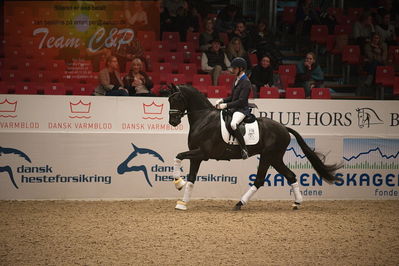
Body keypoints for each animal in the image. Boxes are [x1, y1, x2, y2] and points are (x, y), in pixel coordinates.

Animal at [168, 84, 340, 210]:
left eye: (177, 99)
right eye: (169, 100)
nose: (173, 122)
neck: (204, 118)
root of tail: (284, 128)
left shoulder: (203, 153)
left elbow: (178, 156)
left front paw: (178, 182)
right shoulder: (197, 156)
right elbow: (191, 178)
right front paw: (182, 202)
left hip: (268, 156)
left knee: (259, 180)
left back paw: (239, 204)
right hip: (275, 158)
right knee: (290, 176)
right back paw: (296, 203)